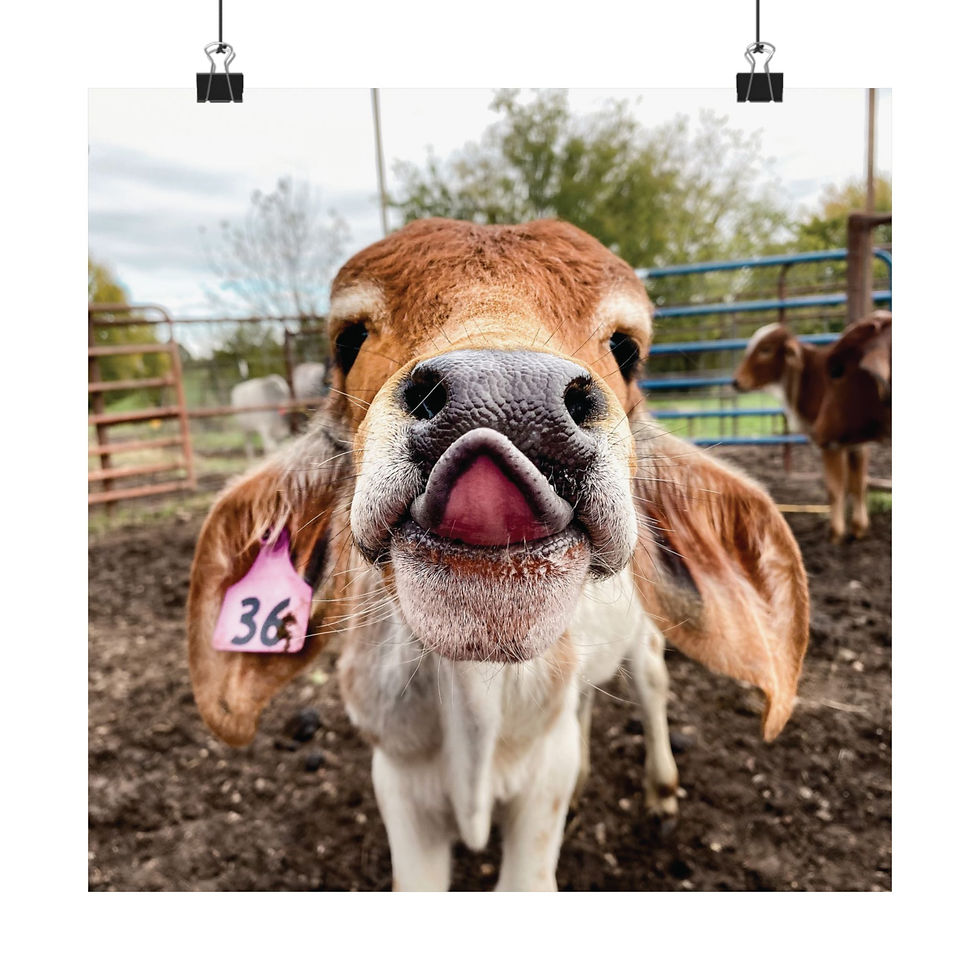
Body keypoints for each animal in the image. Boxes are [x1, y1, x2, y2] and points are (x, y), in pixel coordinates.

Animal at [187, 219, 809, 891]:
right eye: (348, 338)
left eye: (627, 348)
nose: (505, 397)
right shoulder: (398, 782)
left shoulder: (539, 786)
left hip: (645, 633)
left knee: (650, 682)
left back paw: (662, 790)